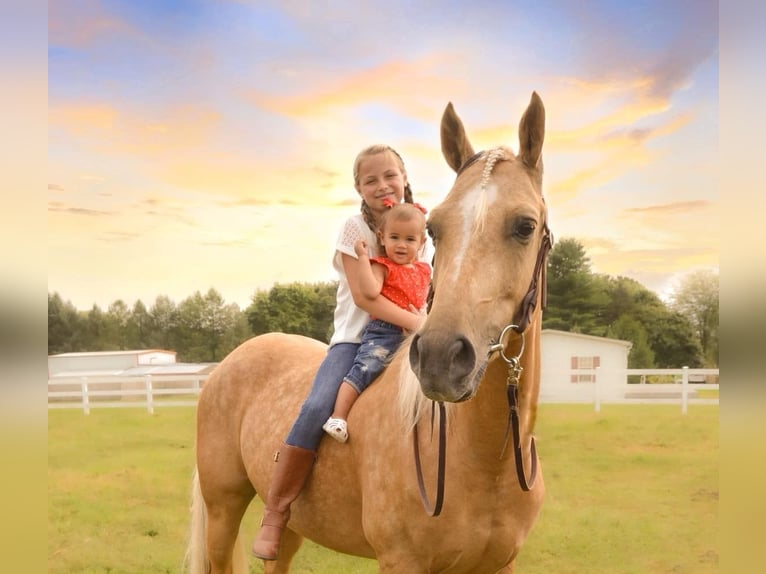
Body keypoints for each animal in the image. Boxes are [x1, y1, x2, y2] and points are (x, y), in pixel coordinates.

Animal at [189, 92, 556, 572]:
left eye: (525, 225)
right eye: (435, 227)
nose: (440, 357)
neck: (482, 460)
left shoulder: (500, 564)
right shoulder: (401, 561)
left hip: (288, 525)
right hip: (223, 509)